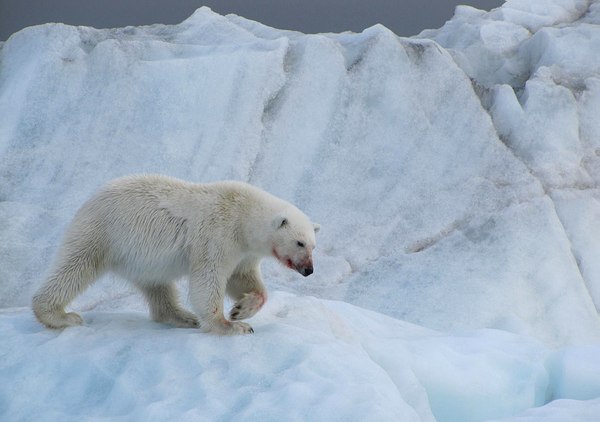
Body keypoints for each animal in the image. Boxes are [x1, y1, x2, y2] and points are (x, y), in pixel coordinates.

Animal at [31, 174, 324, 332]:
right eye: (299, 242)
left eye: (313, 245)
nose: (309, 270)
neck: (244, 214)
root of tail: (89, 200)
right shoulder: (218, 234)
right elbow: (208, 277)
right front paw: (231, 325)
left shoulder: (244, 251)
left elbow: (242, 279)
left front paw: (241, 310)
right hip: (102, 233)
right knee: (75, 267)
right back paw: (59, 315)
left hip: (140, 258)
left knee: (157, 286)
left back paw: (183, 316)